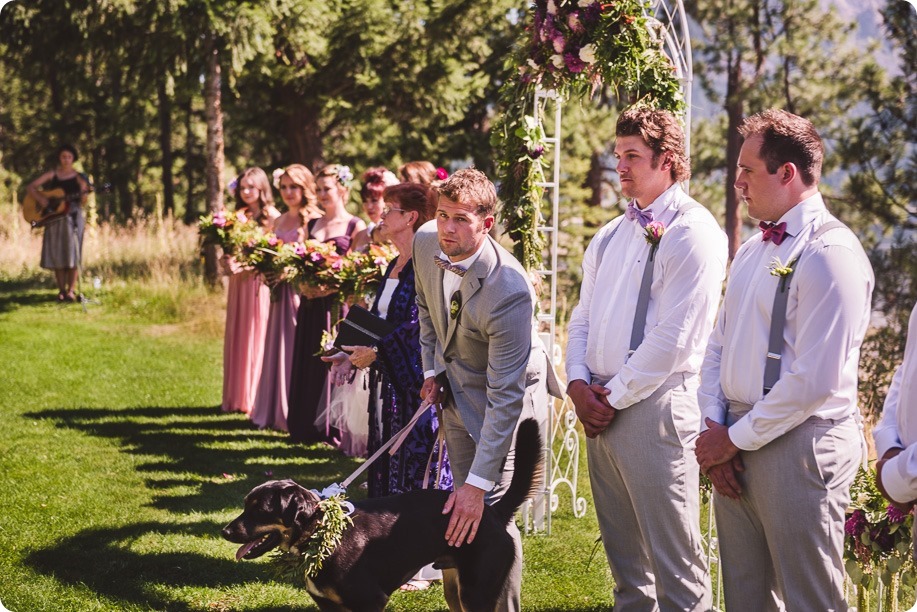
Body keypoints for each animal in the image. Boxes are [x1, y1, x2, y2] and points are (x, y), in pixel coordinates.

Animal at [223, 418, 544, 608]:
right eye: (245, 504)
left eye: (260, 510)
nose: (224, 531)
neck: (322, 535)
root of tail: (491, 513)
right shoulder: (328, 604)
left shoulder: (370, 601)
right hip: (456, 589)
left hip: (478, 591)